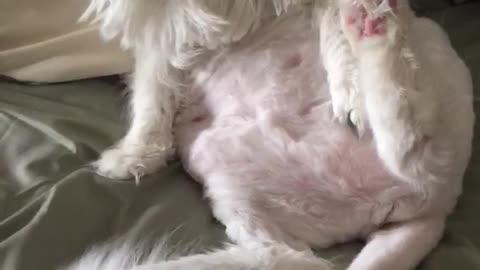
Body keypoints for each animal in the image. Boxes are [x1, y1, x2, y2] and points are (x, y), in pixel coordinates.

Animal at [73, 0, 474, 270]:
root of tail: (435, 210)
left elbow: (332, 34)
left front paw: (348, 89)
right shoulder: (163, 34)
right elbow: (152, 96)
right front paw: (135, 155)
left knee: (411, 139)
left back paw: (370, 28)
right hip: (243, 206)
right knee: (292, 258)